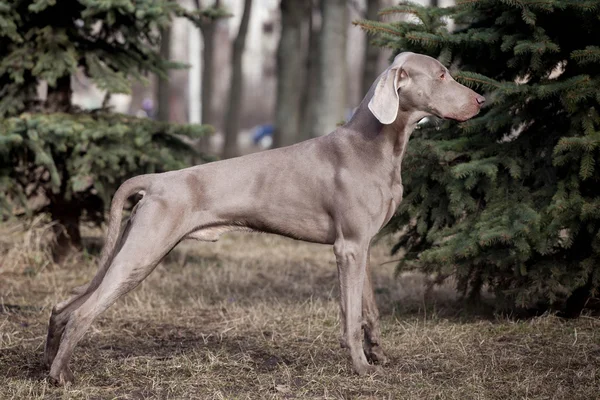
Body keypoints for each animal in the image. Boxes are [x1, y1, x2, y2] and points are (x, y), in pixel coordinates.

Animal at [45, 51, 488, 382]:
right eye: (442, 74)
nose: (483, 101)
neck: (374, 145)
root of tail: (155, 180)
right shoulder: (348, 247)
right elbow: (350, 317)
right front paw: (361, 369)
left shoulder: (362, 246)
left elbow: (369, 311)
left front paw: (378, 356)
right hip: (142, 253)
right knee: (82, 312)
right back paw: (60, 375)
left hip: (130, 246)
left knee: (63, 306)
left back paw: (47, 361)